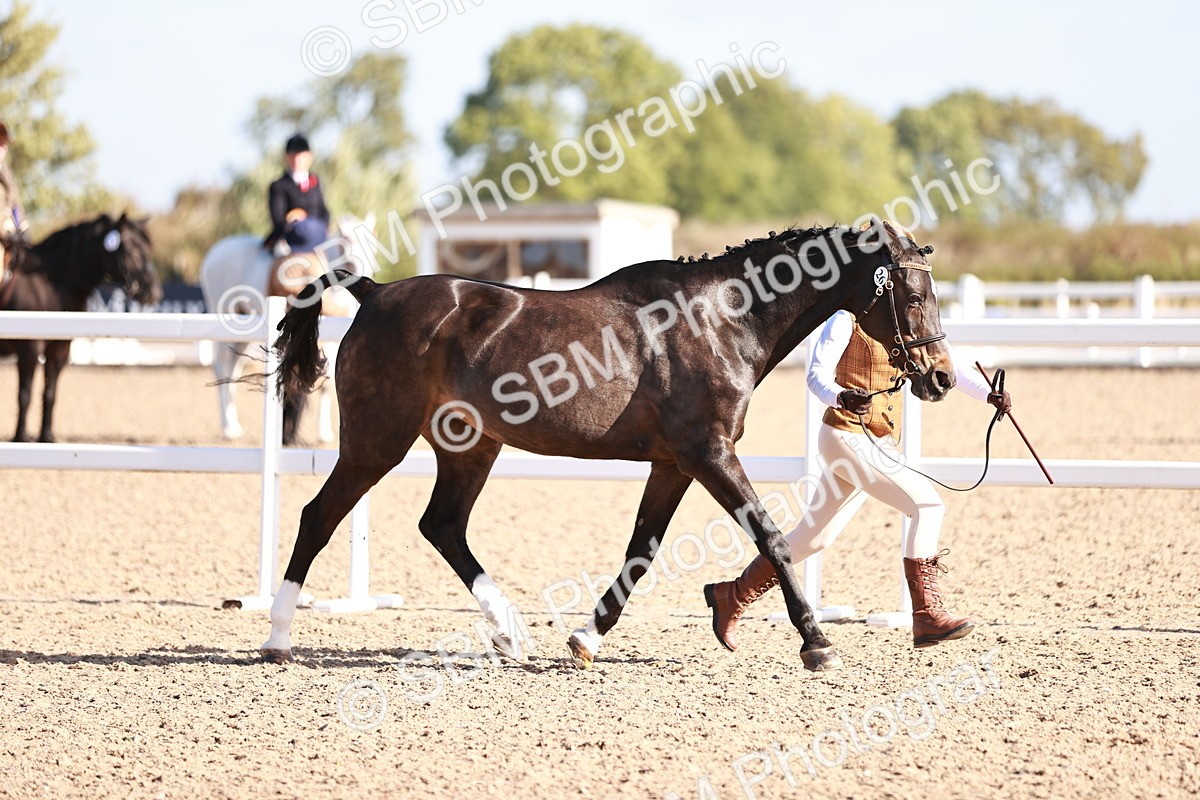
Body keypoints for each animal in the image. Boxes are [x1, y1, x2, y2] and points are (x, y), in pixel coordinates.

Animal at [0, 213, 162, 443]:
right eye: (130, 249)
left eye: (148, 249)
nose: (153, 293)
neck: (52, 286)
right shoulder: (28, 349)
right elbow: (25, 394)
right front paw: (20, 438)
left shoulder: (59, 350)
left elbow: (50, 394)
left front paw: (46, 437)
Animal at [198, 214, 377, 446]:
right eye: (346, 242)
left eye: (373, 243)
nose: (364, 272)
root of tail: (214, 253)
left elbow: (328, 382)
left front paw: (324, 433)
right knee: (221, 367)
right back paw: (228, 428)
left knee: (232, 370)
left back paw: (234, 426)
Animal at [260, 219, 955, 671]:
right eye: (915, 293)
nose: (941, 378)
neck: (724, 320)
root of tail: (375, 292)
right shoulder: (709, 455)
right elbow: (771, 536)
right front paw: (817, 643)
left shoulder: (674, 464)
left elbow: (640, 552)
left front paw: (585, 641)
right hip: (377, 442)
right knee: (319, 516)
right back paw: (277, 637)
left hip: (470, 447)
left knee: (443, 526)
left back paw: (511, 635)